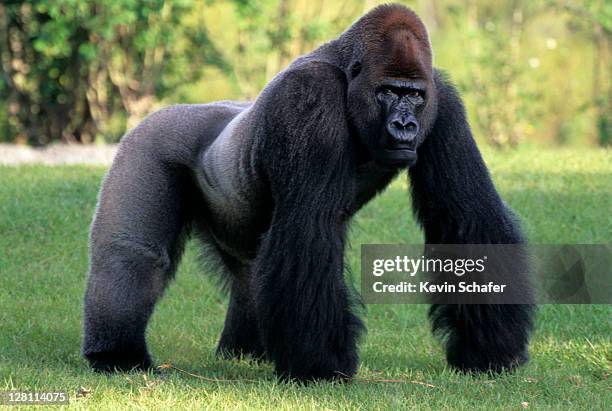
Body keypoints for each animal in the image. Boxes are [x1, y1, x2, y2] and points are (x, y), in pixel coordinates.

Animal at [83, 4, 532, 384]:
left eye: (415, 95)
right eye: (389, 91)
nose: (405, 126)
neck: (349, 78)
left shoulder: (444, 101)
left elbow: (466, 217)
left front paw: (490, 349)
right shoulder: (310, 97)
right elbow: (309, 230)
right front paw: (321, 366)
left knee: (250, 275)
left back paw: (244, 352)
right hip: (147, 142)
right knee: (134, 257)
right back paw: (116, 353)